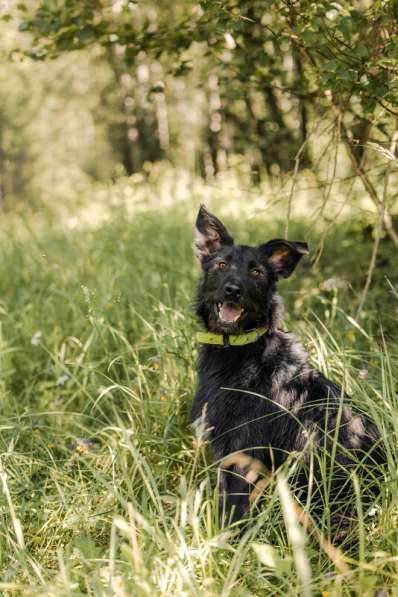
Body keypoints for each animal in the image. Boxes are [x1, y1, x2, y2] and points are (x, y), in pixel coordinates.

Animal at [191, 205, 384, 532]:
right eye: (220, 264)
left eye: (256, 272)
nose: (233, 290)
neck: (242, 348)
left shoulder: (245, 452)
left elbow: (232, 510)